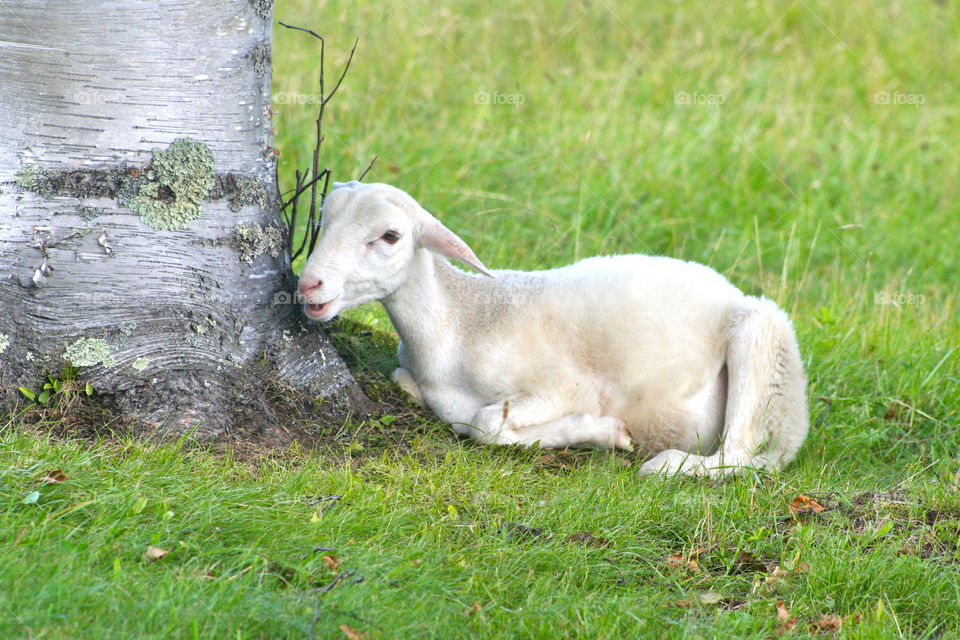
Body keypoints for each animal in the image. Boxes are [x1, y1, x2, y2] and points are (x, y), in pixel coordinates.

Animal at [298, 181, 809, 476]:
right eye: (322, 220)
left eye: (390, 236)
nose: (308, 283)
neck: (460, 323)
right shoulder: (412, 376)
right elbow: (446, 407)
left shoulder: (569, 386)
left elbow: (488, 423)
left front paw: (605, 432)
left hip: (762, 343)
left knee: (741, 455)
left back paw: (666, 465)